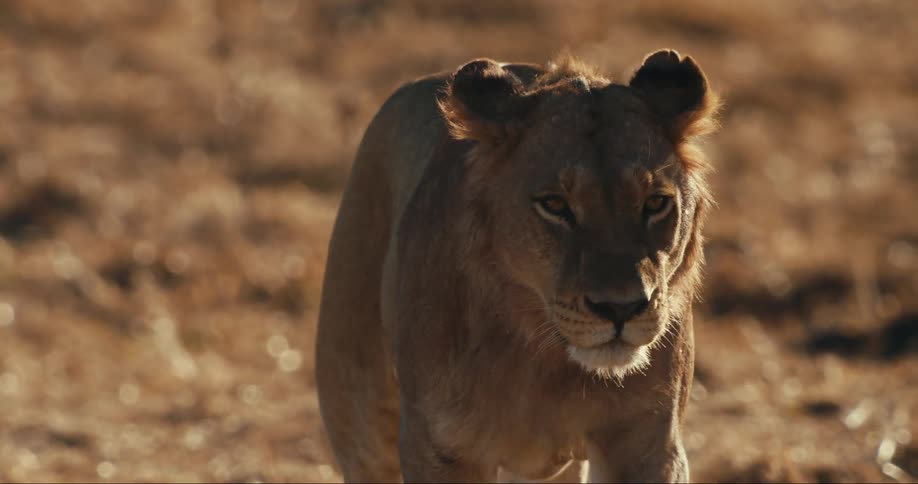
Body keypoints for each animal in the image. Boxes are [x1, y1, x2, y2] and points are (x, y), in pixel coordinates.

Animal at [315, 49, 719, 483]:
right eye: (555, 205)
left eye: (655, 203)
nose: (621, 308)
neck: (546, 361)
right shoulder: (440, 448)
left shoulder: (648, 441)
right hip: (361, 416)